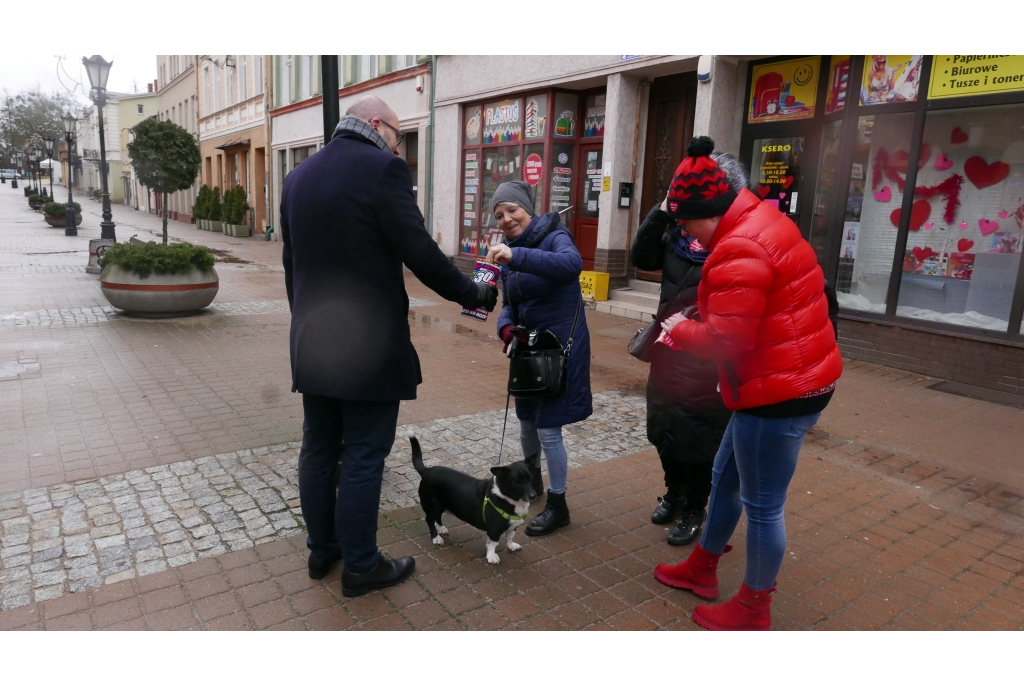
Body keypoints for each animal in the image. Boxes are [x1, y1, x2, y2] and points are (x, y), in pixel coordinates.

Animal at [409, 438, 544, 561]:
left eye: (531, 477)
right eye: (516, 482)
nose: (533, 495)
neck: (510, 499)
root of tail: (426, 471)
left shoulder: (512, 527)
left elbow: (509, 537)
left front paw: (511, 546)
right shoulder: (494, 530)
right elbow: (493, 543)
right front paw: (491, 557)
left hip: (441, 505)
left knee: (437, 517)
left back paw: (441, 528)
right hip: (431, 506)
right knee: (429, 520)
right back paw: (436, 537)